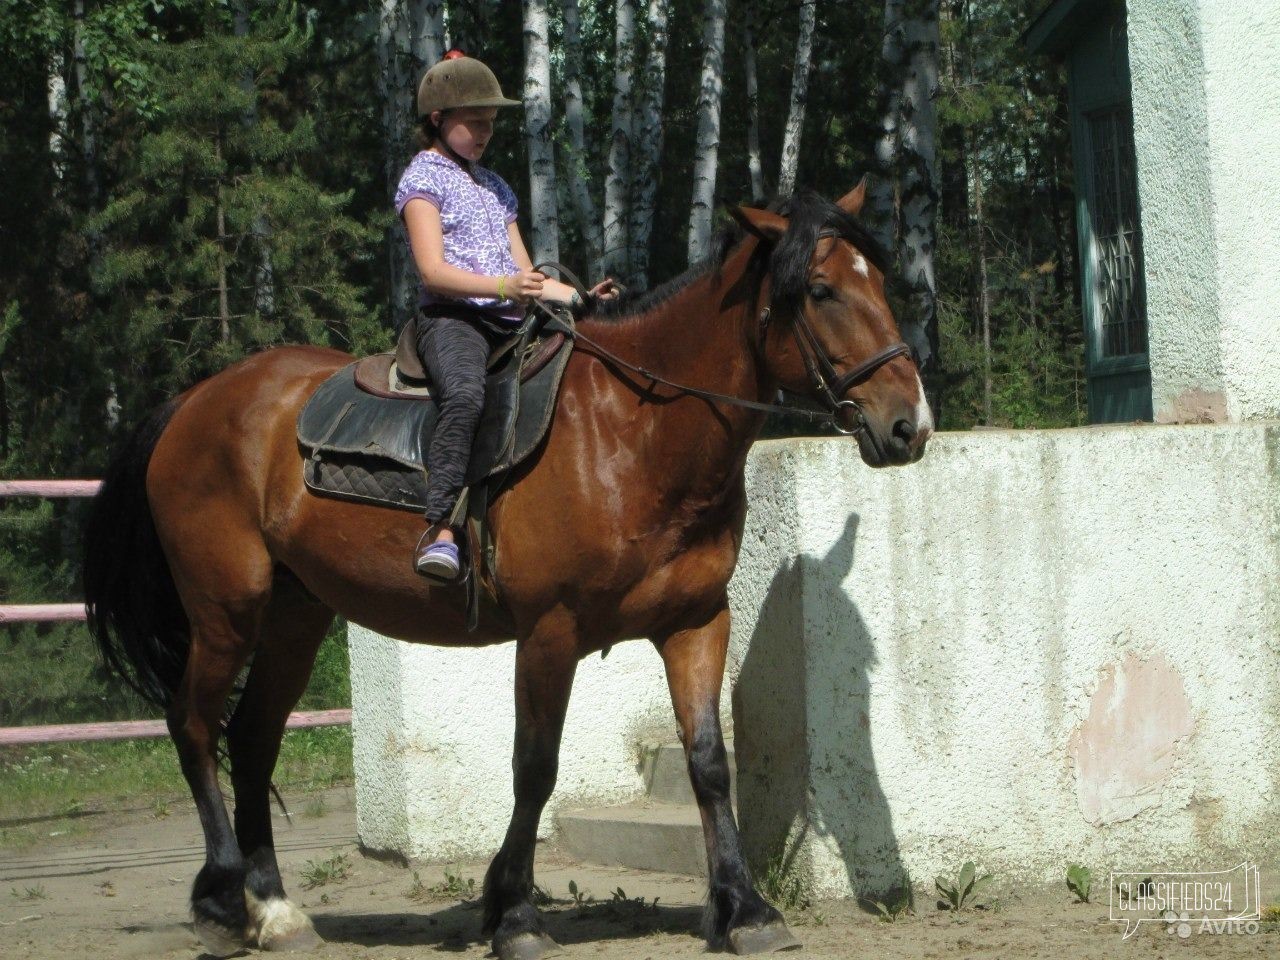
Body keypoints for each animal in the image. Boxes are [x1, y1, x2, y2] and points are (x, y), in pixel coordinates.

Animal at [87, 181, 931, 960]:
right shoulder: (550, 632)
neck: (631, 432)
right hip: (225, 612)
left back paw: (273, 909)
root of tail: (194, 401)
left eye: (881, 283)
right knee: (195, 727)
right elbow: (536, 767)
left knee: (253, 736)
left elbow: (708, 762)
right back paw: (222, 905)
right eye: (820, 290)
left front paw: (745, 910)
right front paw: (516, 915)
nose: (909, 426)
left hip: (295, 616)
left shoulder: (695, 622)